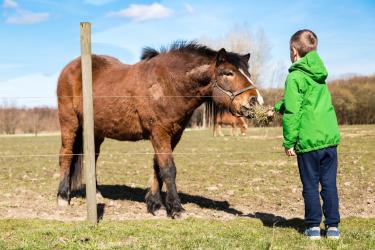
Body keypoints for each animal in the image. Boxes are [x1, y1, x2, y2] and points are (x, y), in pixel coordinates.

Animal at [57, 41, 266, 217]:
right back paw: (62, 196)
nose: (255, 100)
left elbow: (157, 166)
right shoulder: (159, 133)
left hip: (97, 132)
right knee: (66, 155)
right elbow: (168, 169)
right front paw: (176, 208)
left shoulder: (173, 135)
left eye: (247, 74)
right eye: (228, 73)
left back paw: (96, 194)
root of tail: (71, 67)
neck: (167, 84)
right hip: (69, 123)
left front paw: (155, 204)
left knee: (92, 159)